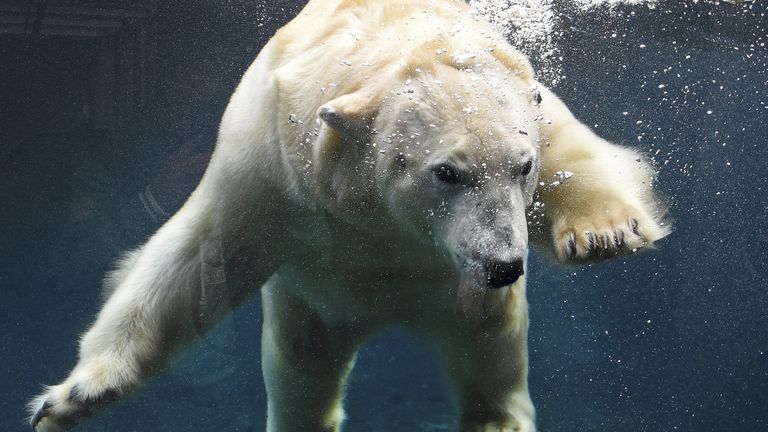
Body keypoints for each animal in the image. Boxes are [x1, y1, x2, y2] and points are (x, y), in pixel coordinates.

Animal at [29, 0, 669, 431]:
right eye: (446, 172)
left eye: (522, 166)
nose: (503, 265)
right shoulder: (273, 168)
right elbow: (198, 258)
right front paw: (72, 397)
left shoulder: (522, 95)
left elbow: (574, 151)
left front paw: (606, 233)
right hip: (313, 313)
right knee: (300, 376)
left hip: (467, 309)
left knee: (493, 362)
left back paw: (496, 418)